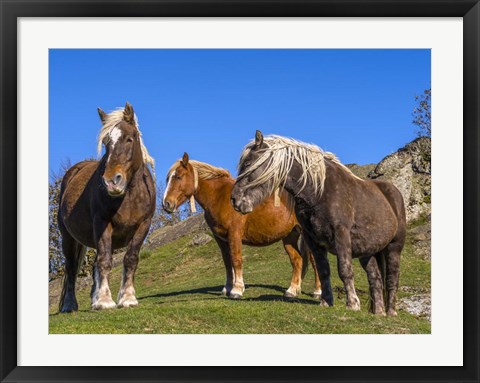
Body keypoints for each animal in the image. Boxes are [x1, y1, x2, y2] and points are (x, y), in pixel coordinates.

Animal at [57, 103, 156, 314]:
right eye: (105, 143)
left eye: (129, 139)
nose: (111, 181)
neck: (130, 195)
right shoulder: (103, 224)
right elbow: (105, 261)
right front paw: (104, 301)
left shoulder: (144, 225)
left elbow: (130, 258)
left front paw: (127, 298)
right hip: (68, 238)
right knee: (71, 268)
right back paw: (69, 305)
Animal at [163, 153, 320, 300]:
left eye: (178, 177)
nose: (166, 204)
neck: (221, 197)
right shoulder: (221, 239)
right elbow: (227, 262)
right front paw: (227, 288)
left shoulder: (234, 234)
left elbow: (236, 259)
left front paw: (237, 290)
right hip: (289, 236)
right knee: (297, 260)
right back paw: (292, 291)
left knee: (314, 261)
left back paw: (317, 292)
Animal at [232, 130, 404, 316]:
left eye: (248, 163)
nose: (234, 200)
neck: (319, 192)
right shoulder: (313, 239)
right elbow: (323, 270)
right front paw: (326, 301)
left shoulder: (341, 235)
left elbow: (345, 270)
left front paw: (352, 304)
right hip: (367, 252)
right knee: (375, 279)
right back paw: (378, 313)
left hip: (394, 247)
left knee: (392, 279)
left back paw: (391, 313)